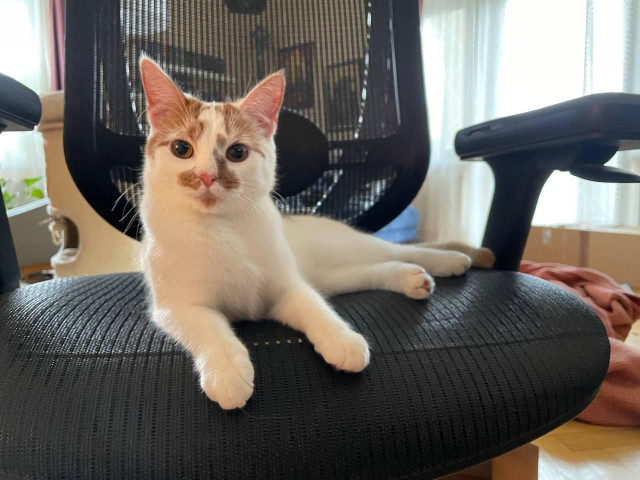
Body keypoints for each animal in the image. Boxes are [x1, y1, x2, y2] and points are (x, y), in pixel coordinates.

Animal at [138, 56, 492, 408]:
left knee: (400, 250)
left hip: (347, 248)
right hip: (333, 275)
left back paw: (451, 260)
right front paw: (227, 374)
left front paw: (342, 340)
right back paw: (413, 279)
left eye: (237, 153)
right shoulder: (177, 308)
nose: (207, 176)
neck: (225, 228)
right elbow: (210, 329)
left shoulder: (288, 288)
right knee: (372, 269)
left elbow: (315, 308)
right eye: (181, 149)